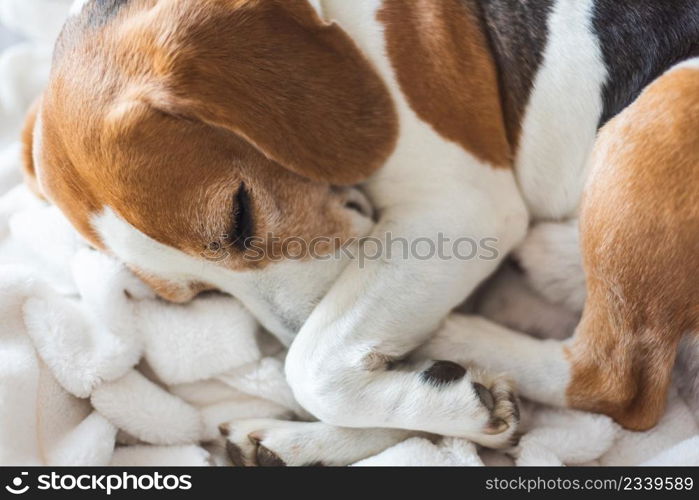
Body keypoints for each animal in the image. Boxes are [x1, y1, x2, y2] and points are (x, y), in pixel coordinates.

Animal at [21, 0, 699, 464]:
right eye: (203, 295)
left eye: (240, 217)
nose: (386, 355)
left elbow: (310, 361)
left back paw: (467, 335)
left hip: (666, 104)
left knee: (618, 382)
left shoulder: (460, 206)